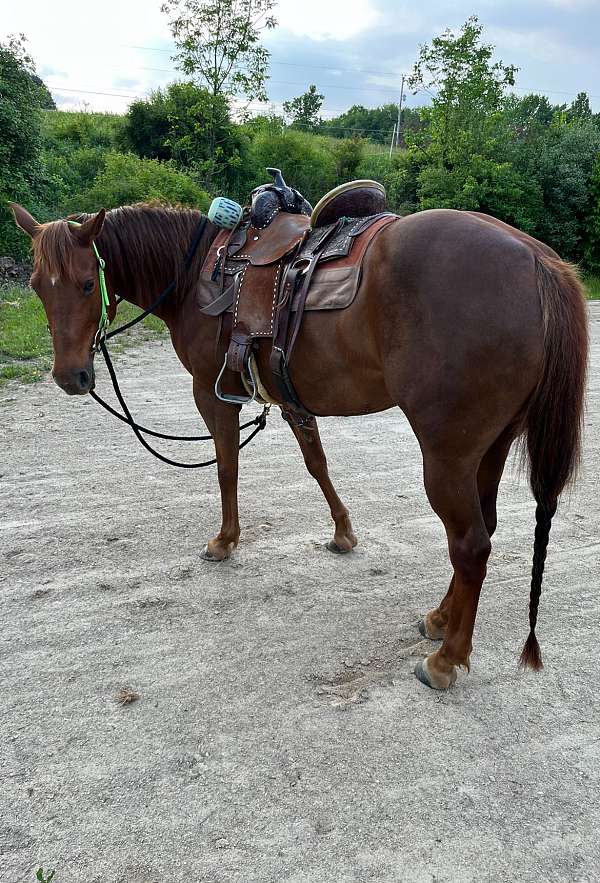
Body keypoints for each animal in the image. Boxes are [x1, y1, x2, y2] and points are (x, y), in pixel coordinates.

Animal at [11, 202, 588, 692]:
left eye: (88, 283)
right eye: (38, 286)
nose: (70, 377)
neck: (198, 273)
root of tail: (536, 260)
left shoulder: (212, 395)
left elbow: (226, 467)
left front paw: (225, 540)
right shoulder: (290, 397)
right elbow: (317, 464)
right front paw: (342, 532)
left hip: (447, 454)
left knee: (470, 545)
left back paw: (447, 659)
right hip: (490, 449)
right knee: (483, 527)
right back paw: (440, 619)